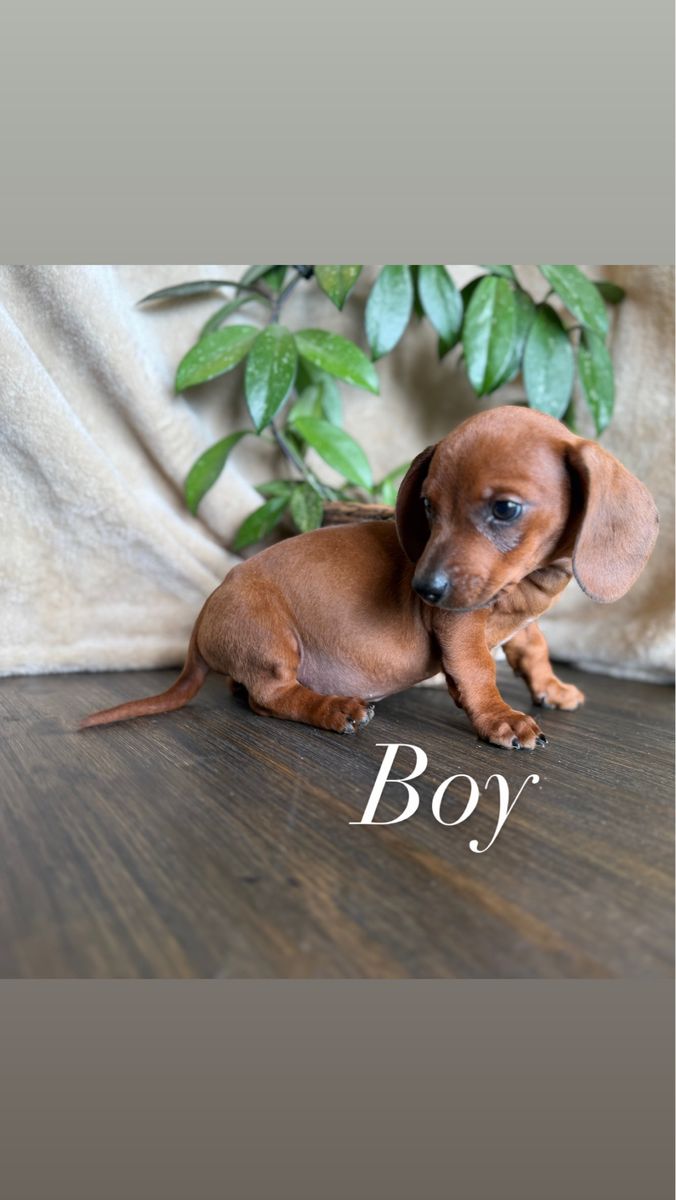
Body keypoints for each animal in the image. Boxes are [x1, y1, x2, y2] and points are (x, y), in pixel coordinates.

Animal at [80, 406, 659, 749]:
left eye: (506, 509)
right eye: (426, 507)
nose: (424, 591)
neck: (525, 587)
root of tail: (201, 622)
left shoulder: (518, 617)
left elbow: (532, 649)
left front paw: (551, 689)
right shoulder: (459, 626)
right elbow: (477, 673)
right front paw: (501, 719)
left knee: (248, 694)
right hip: (270, 637)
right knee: (271, 697)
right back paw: (334, 708)